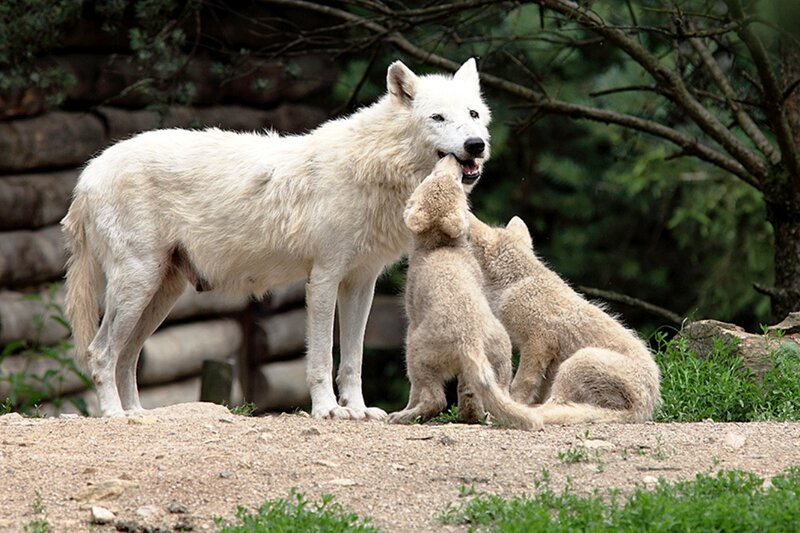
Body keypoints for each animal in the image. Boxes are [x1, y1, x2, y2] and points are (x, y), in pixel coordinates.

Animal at [62, 58, 492, 418]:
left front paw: (359, 411)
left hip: (161, 294)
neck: (376, 167)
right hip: (137, 285)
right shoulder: (323, 278)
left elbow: (353, 361)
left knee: (128, 356)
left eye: (473, 115)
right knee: (101, 352)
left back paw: (138, 414)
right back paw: (114, 416)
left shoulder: (361, 283)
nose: (477, 145)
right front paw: (328, 410)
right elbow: (322, 358)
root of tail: (88, 173)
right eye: (437, 117)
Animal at [388, 156, 543, 430]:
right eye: (437, 176)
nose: (451, 159)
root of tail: (469, 340)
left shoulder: (411, 320)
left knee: (434, 399)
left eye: (449, 179)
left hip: (416, 356)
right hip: (501, 360)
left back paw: (404, 416)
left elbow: (415, 393)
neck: (441, 247)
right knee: (490, 395)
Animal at [468, 215, 661, 424]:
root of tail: (640, 412)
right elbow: (536, 390)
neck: (515, 283)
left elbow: (521, 384)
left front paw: (513, 406)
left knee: (555, 404)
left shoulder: (537, 344)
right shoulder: (547, 361)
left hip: (575, 362)